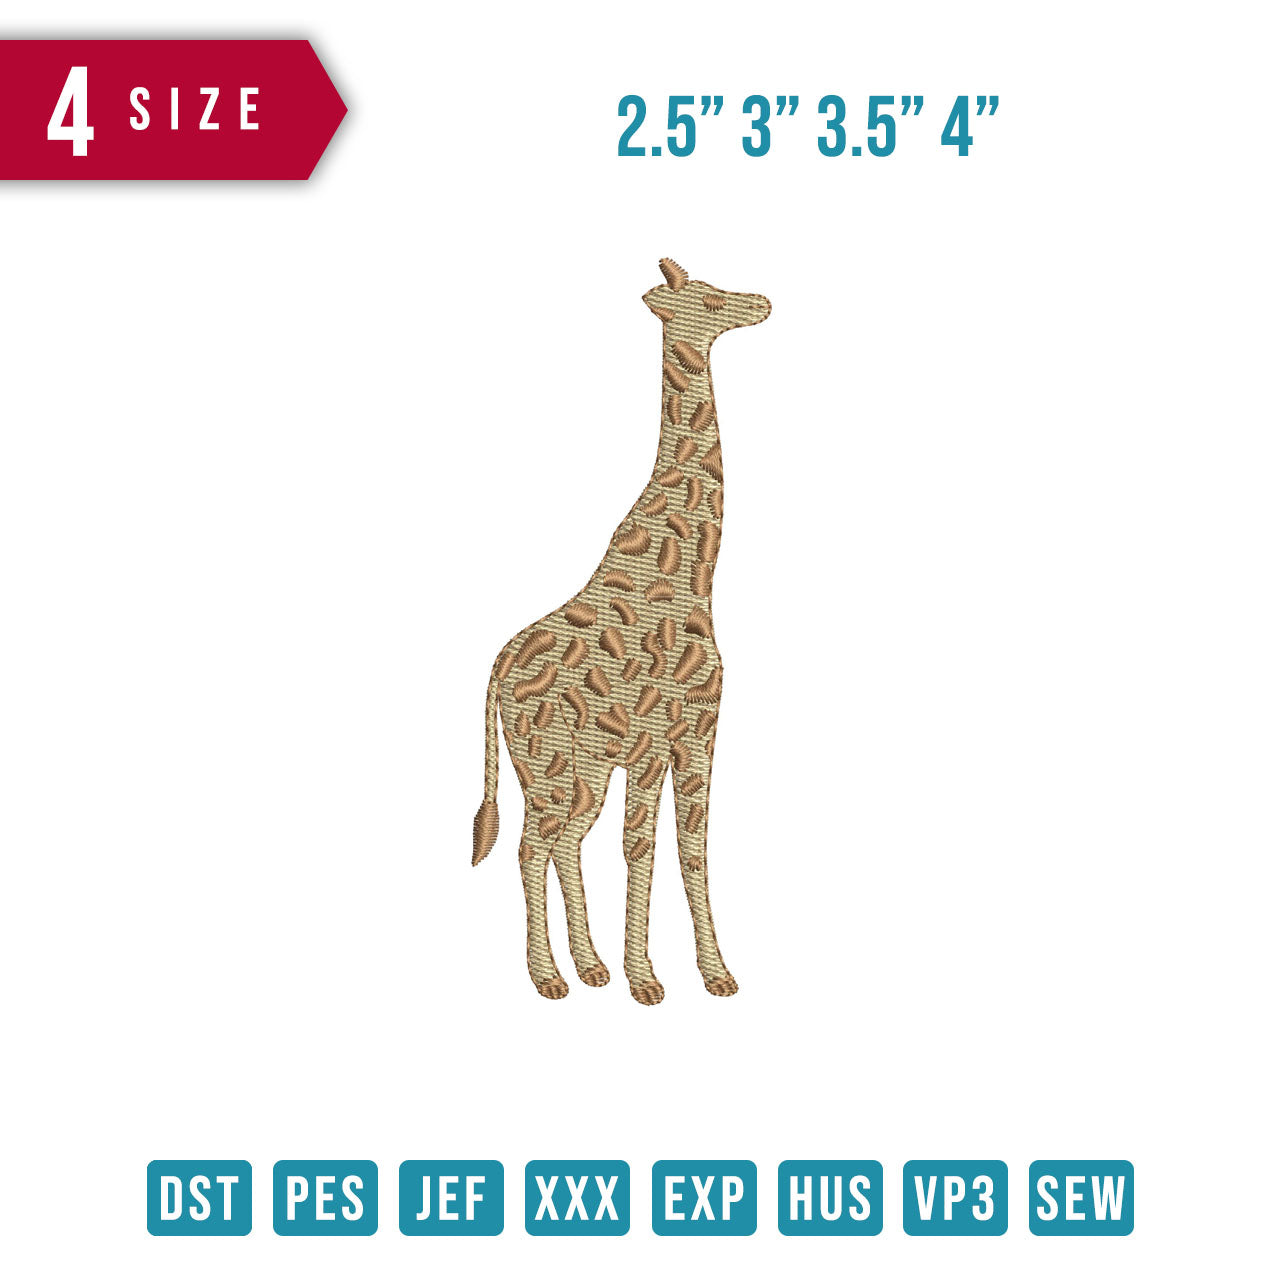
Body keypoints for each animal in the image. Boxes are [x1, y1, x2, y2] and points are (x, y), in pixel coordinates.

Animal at [472, 258, 772, 1004]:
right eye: (712, 299)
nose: (762, 302)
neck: (695, 573)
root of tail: (495, 671)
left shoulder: (687, 735)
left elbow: (687, 849)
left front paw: (712, 974)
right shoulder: (664, 737)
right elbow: (649, 850)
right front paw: (650, 980)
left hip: (577, 770)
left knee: (564, 841)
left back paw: (591, 967)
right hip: (546, 761)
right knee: (532, 844)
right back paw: (550, 977)